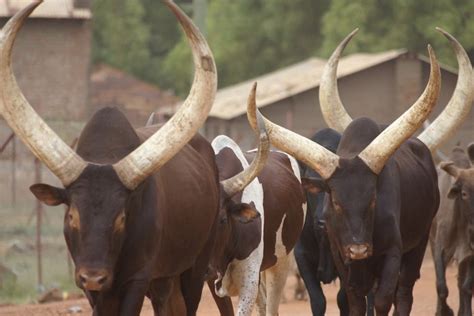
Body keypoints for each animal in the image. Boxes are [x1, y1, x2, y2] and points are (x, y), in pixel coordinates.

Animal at [0, 1, 228, 314]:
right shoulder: (91, 288)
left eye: (121, 218)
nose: (94, 276)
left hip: (194, 267)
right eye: (72, 215)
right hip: (164, 281)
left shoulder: (138, 279)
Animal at [430, 143, 474, 316]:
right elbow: (441, 286)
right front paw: (444, 311)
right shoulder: (439, 248)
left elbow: (467, 287)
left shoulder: (470, 253)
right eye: (464, 193)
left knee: (461, 283)